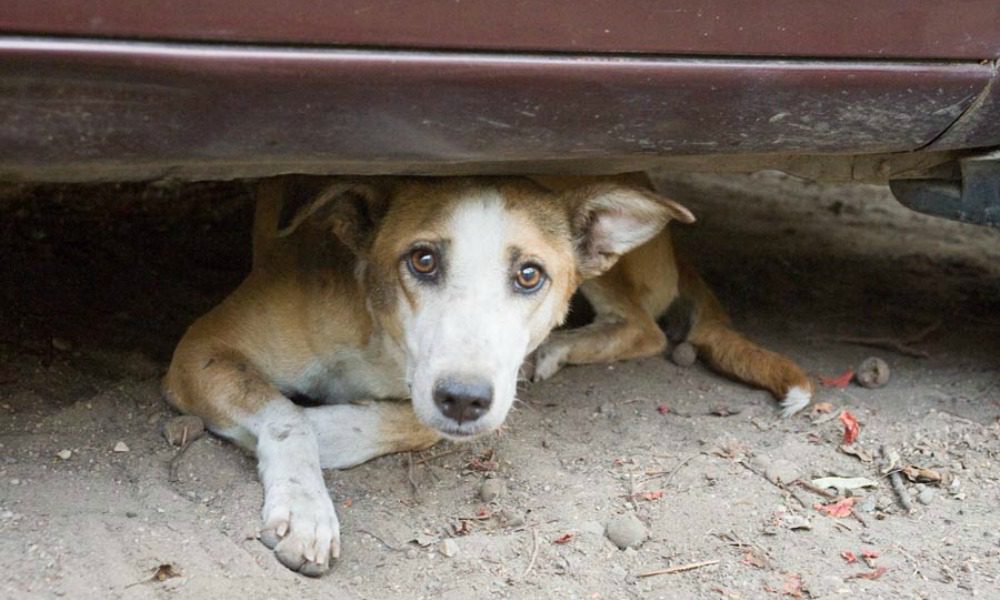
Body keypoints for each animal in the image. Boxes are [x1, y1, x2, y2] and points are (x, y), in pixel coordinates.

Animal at [162, 173, 812, 576]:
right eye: (423, 260)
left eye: (529, 275)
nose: (463, 399)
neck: (381, 338)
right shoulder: (200, 349)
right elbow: (284, 415)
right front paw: (305, 505)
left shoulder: (470, 395)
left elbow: (407, 422)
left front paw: (327, 432)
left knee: (645, 329)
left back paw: (556, 349)